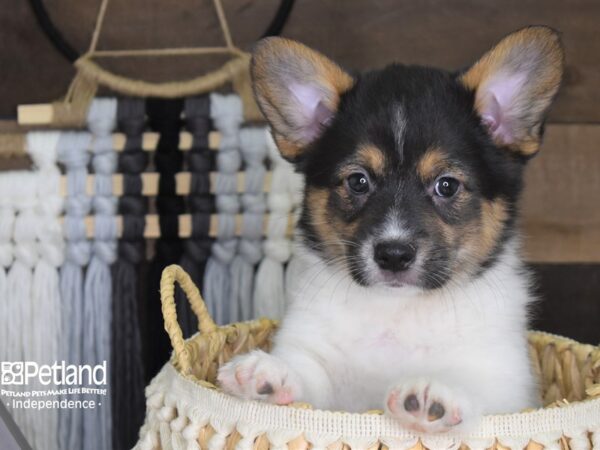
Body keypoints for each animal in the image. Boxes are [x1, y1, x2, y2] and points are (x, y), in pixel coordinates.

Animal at [218, 25, 564, 432]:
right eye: (358, 181)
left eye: (447, 185)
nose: (394, 255)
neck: (398, 310)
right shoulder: (318, 362)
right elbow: (306, 372)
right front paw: (266, 372)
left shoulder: (506, 383)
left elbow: (475, 390)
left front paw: (434, 393)